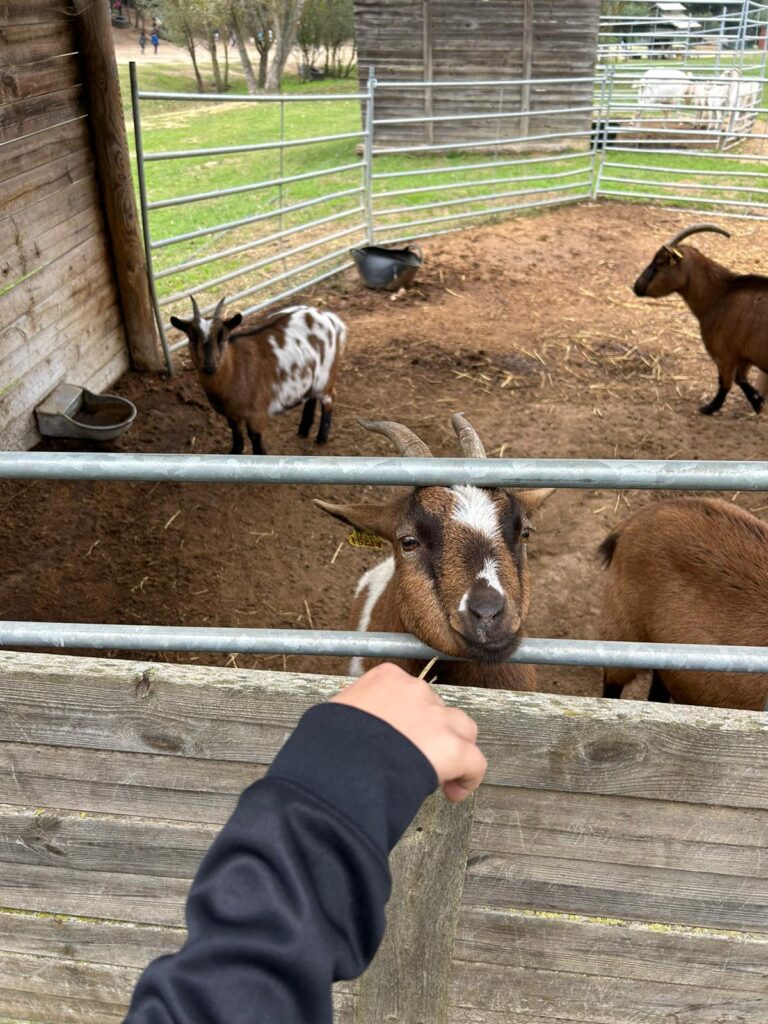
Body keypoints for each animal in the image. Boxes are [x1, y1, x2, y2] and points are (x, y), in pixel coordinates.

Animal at [170, 297, 347, 454]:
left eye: (223, 336)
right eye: (191, 336)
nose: (209, 365)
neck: (236, 369)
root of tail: (324, 315)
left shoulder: (257, 416)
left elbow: (257, 443)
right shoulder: (231, 414)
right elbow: (237, 437)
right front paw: (235, 452)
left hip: (326, 376)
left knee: (329, 399)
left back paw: (321, 438)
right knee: (311, 398)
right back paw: (303, 430)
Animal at [633, 223, 768, 415]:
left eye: (659, 263)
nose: (636, 287)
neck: (720, 293)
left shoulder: (724, 355)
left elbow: (725, 383)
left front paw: (709, 408)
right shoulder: (744, 356)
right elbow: (740, 379)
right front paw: (758, 402)